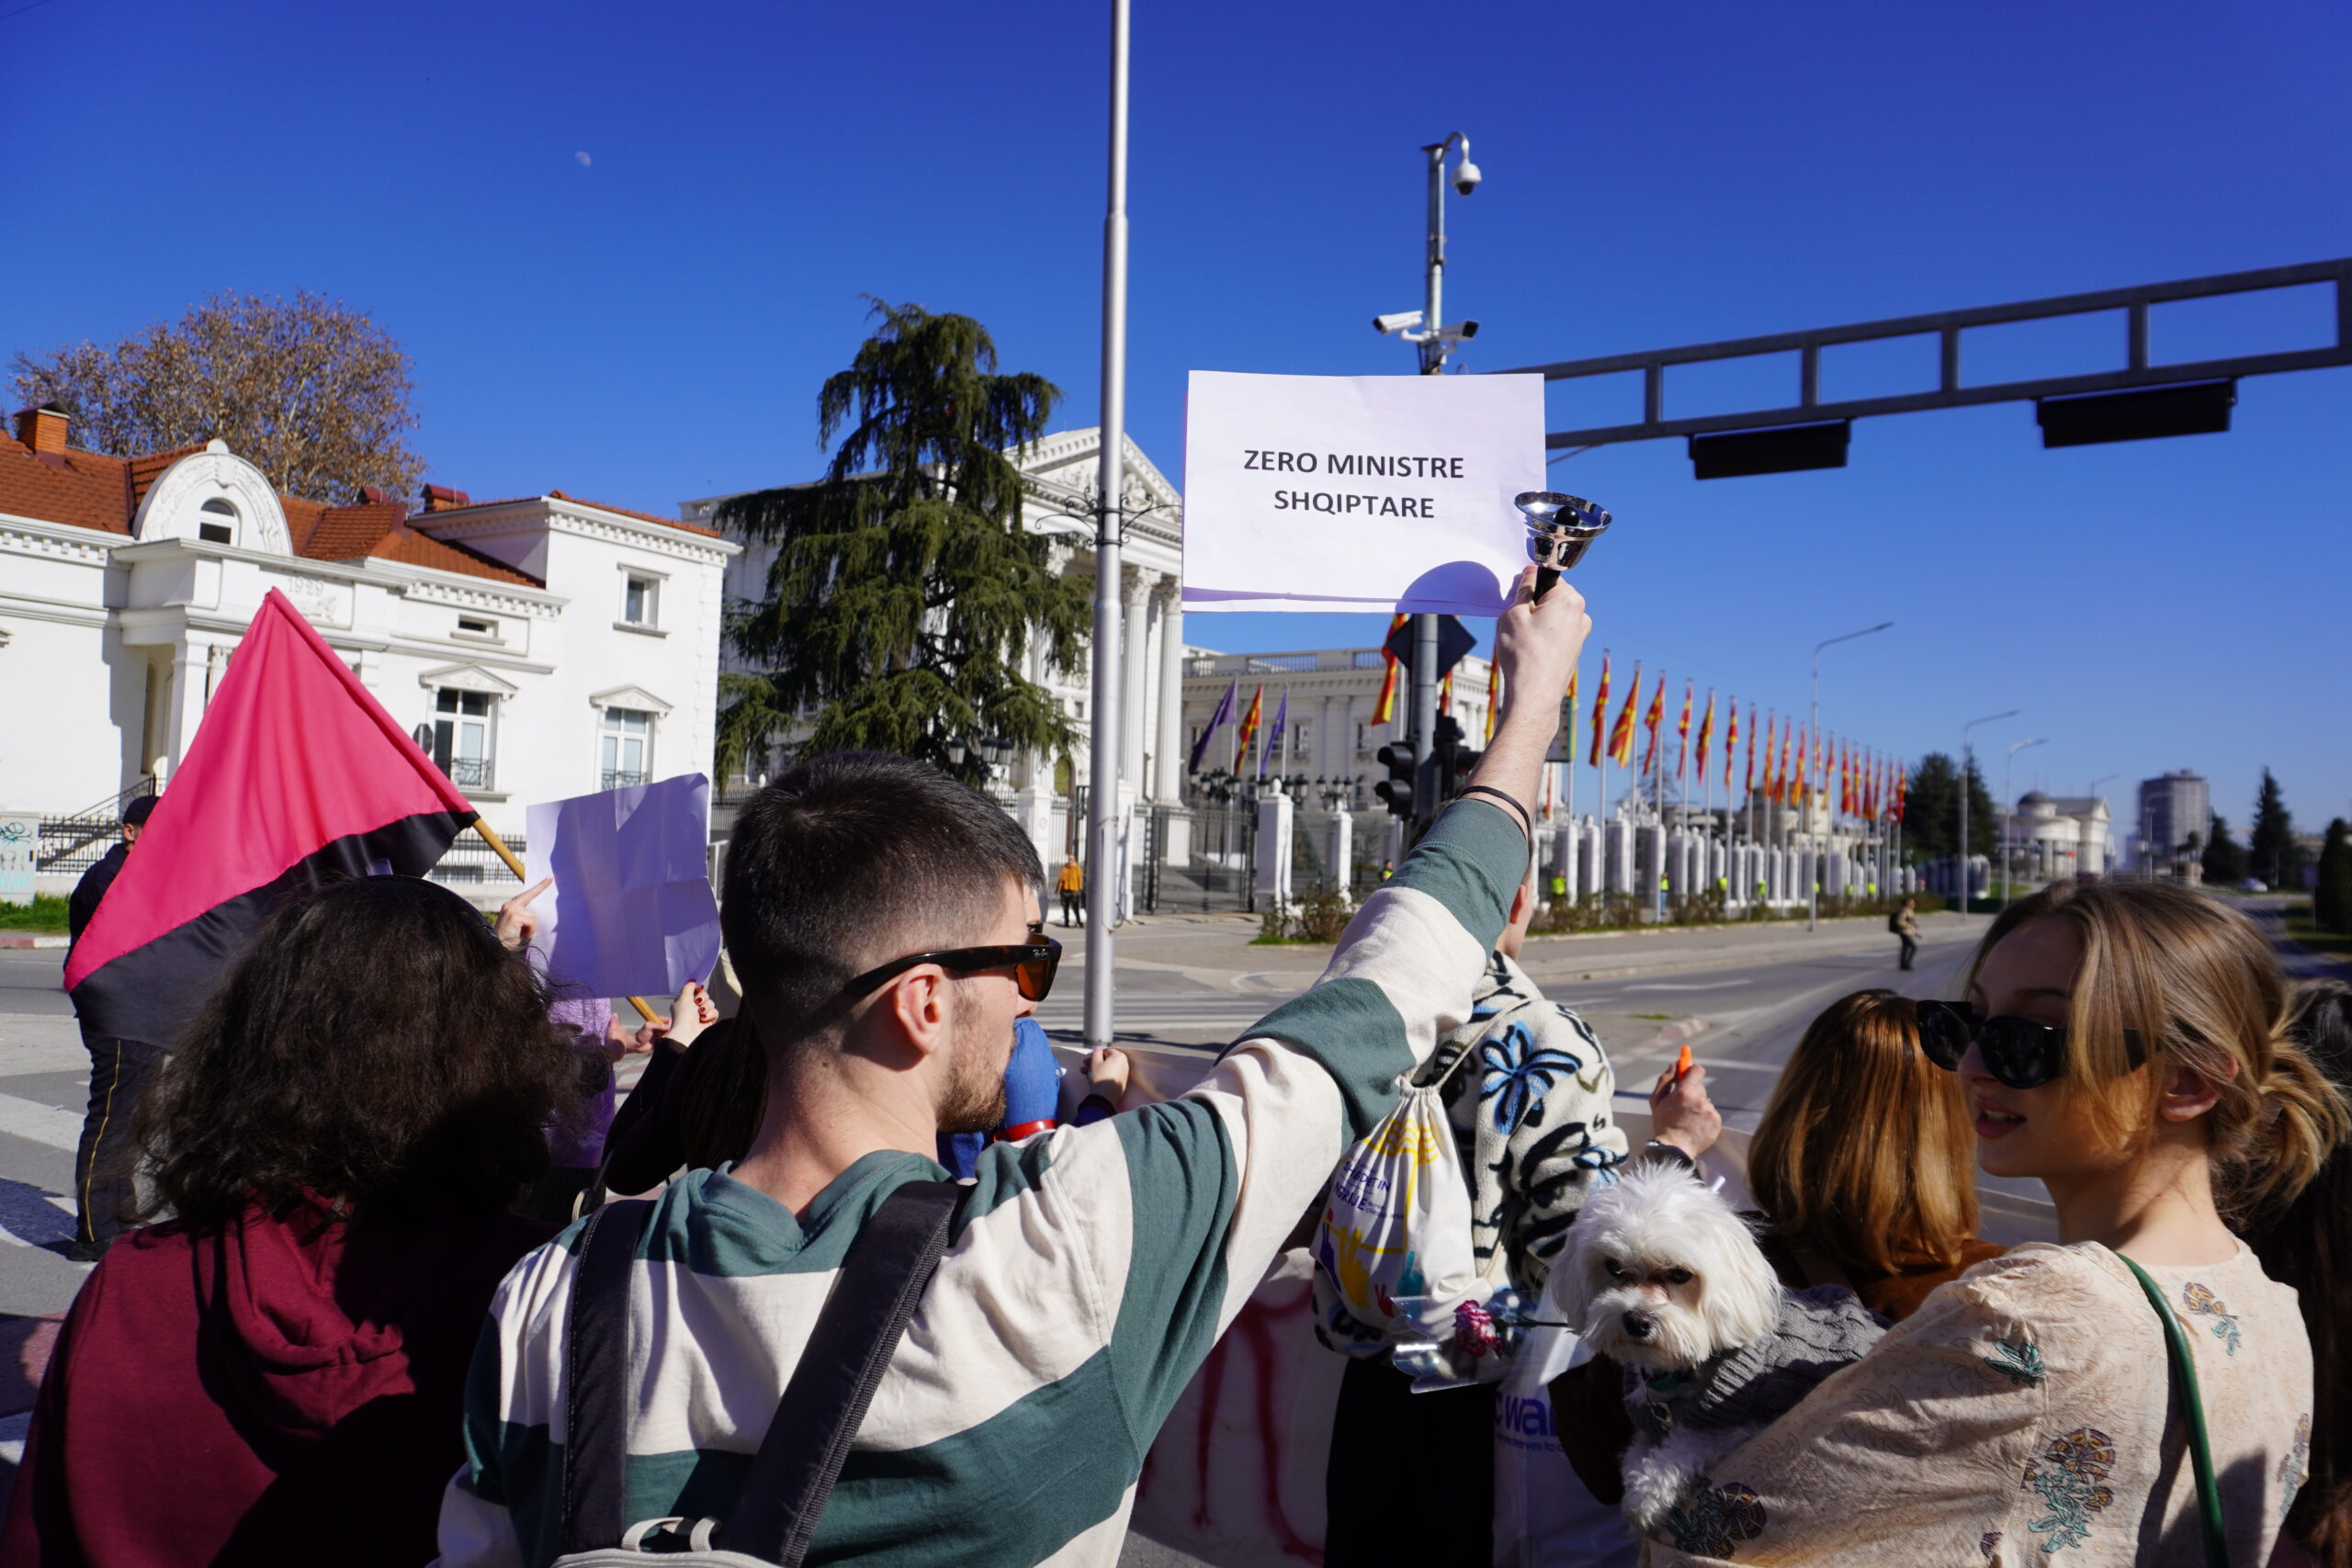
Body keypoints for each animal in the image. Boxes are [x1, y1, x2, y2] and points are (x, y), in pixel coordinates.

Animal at [1543, 1166, 1891, 1532]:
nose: (1636, 1320)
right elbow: (1636, 1451)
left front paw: (1647, 1495)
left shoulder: (1752, 1424)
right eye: (1613, 1266)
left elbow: (1690, 1441)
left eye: (1680, 1274)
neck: (1684, 1367)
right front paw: (1638, 1480)